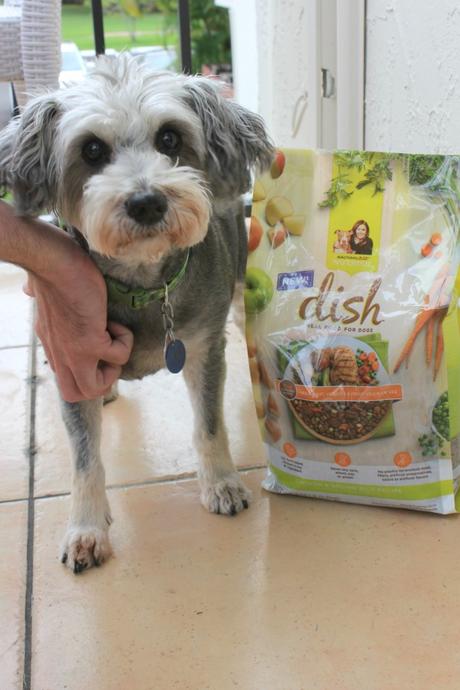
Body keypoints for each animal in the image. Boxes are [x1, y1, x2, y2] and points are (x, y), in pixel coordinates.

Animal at [0, 55, 274, 568]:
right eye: (91, 149)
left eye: (169, 138)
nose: (147, 202)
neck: (144, 286)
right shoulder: (72, 354)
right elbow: (85, 458)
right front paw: (86, 528)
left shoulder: (205, 347)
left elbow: (209, 424)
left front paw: (222, 482)